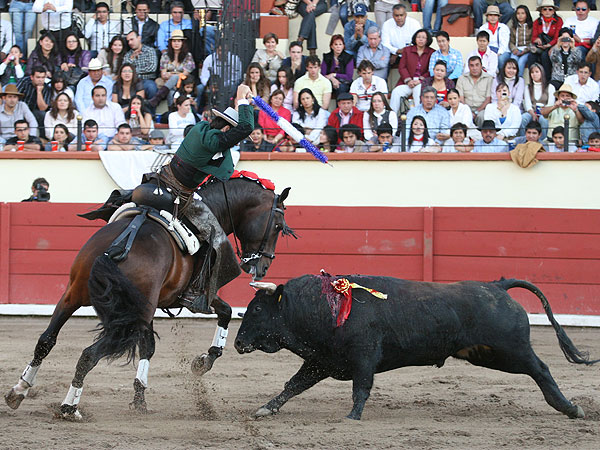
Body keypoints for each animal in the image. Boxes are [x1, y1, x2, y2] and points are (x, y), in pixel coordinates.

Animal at [4, 177, 296, 418]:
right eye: (278, 226)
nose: (262, 267)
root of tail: (117, 246)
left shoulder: (158, 304)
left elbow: (150, 346)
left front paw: (140, 397)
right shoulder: (195, 295)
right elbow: (224, 312)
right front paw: (204, 362)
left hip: (72, 295)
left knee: (46, 340)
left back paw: (19, 391)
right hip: (130, 315)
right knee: (88, 354)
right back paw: (69, 407)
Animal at [236, 276, 600, 420]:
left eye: (256, 310)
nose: (237, 343)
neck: (323, 306)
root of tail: (496, 286)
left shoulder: (363, 357)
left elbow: (360, 388)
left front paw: (353, 417)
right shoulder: (322, 361)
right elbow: (293, 385)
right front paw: (266, 408)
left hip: (510, 349)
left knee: (541, 369)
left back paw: (570, 408)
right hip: (487, 354)